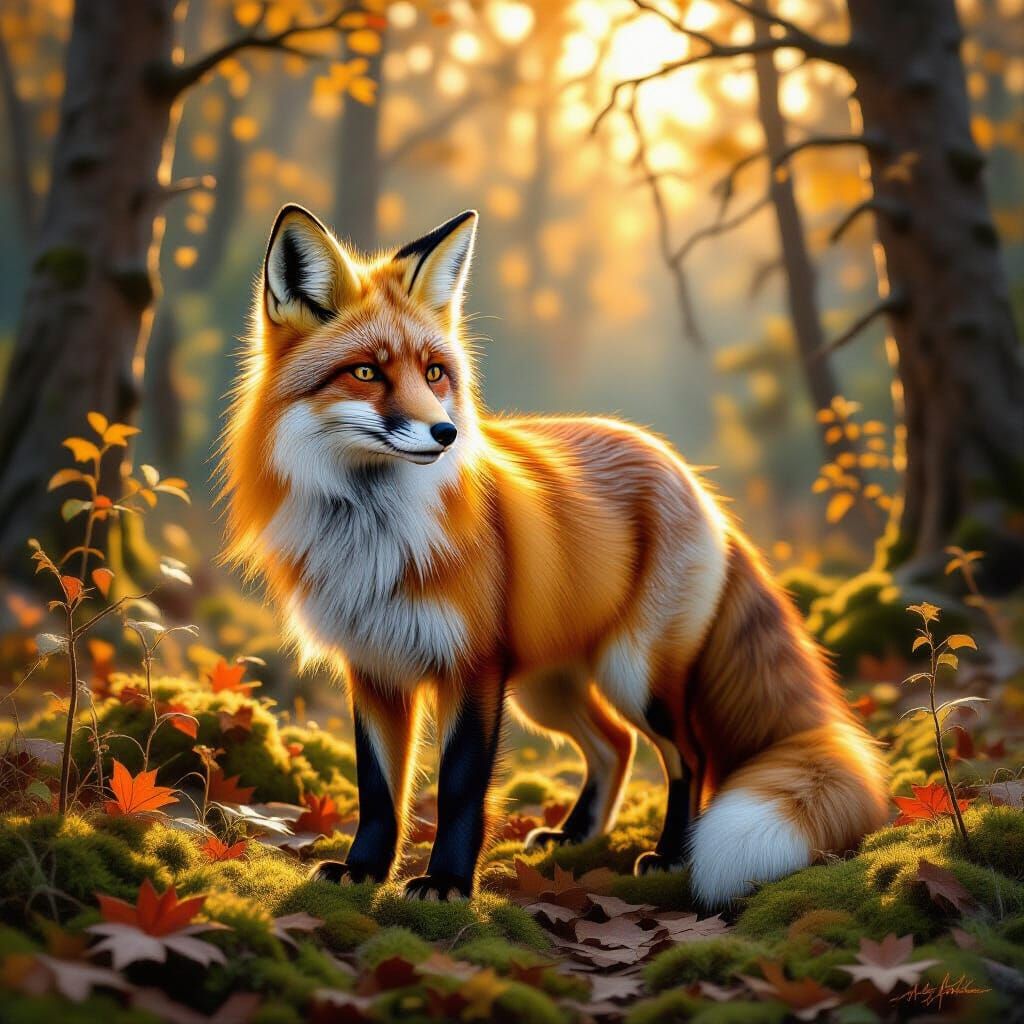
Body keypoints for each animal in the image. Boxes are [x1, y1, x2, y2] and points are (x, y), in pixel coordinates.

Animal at [221, 203, 889, 906]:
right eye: (367, 372)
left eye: (434, 373)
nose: (446, 432)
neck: (374, 537)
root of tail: (688, 475)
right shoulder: (375, 669)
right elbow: (377, 792)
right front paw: (364, 872)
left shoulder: (473, 668)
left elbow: (459, 789)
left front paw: (448, 882)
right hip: (548, 688)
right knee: (615, 746)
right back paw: (575, 836)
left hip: (632, 675)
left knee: (689, 753)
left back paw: (671, 855)